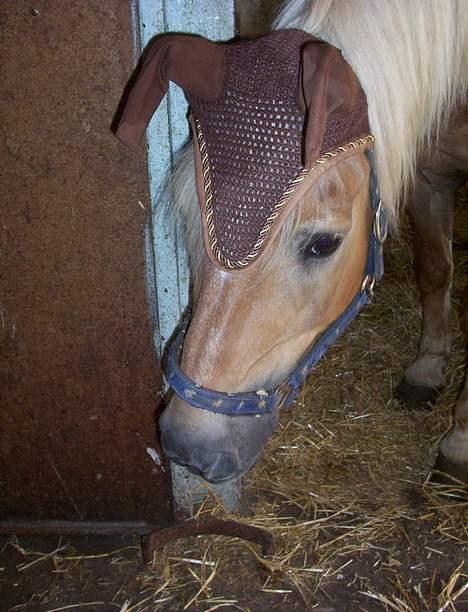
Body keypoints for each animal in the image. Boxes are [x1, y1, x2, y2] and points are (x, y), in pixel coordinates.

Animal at [115, 2, 466, 486]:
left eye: (323, 244)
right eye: (189, 221)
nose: (189, 446)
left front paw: (458, 443)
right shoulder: (427, 173)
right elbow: (435, 270)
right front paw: (428, 368)